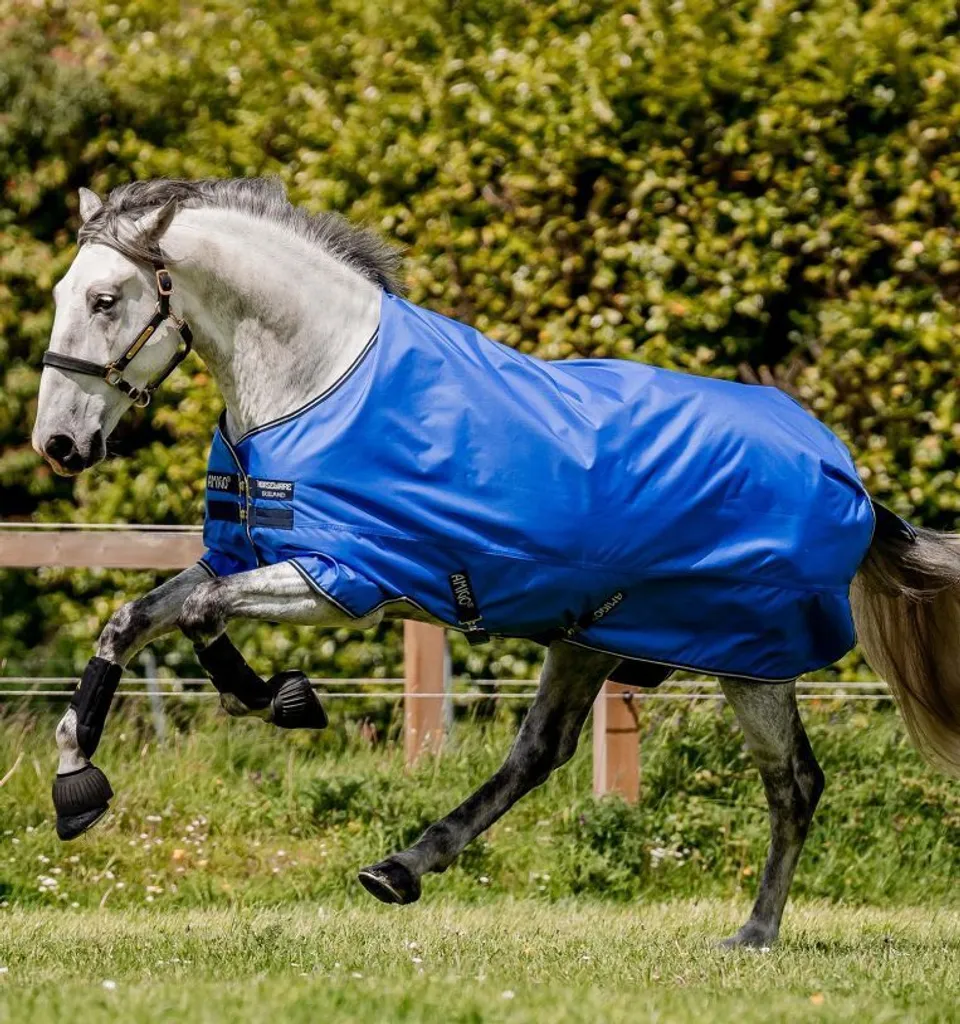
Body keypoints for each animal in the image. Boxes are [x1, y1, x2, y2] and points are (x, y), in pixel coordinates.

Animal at [32, 178, 960, 948]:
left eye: (106, 299)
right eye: (60, 294)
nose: (60, 445)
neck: (319, 382)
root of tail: (846, 475)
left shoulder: (342, 580)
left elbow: (200, 617)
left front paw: (281, 699)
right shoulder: (248, 556)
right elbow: (130, 622)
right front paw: (78, 785)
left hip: (751, 657)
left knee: (793, 784)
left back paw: (756, 934)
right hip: (591, 638)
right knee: (539, 754)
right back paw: (398, 869)